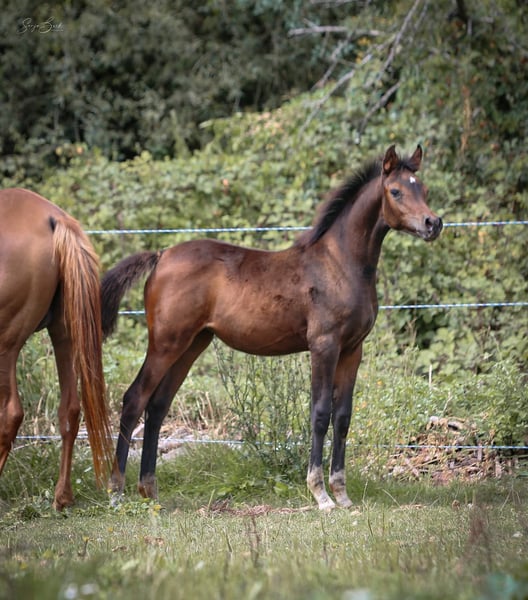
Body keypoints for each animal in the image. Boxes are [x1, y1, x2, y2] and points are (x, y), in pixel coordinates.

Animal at [0, 189, 113, 510]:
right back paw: (62, 496)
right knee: (70, 409)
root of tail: (54, 219)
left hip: (5, 344)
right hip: (64, 333)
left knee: (10, 413)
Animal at [101, 144, 442, 510]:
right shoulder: (324, 345)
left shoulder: (353, 349)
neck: (340, 265)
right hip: (166, 343)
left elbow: (343, 416)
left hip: (193, 343)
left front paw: (342, 494)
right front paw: (321, 495)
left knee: (158, 405)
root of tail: (161, 255)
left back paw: (149, 490)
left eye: (423, 189)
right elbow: (320, 413)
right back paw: (116, 492)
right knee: (134, 399)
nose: (433, 223)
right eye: (396, 191)